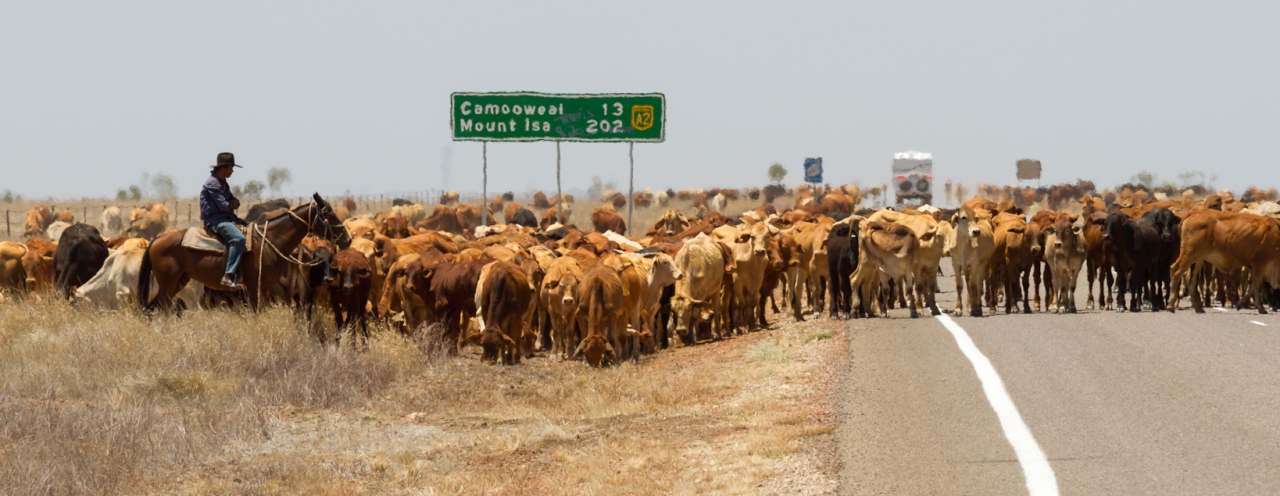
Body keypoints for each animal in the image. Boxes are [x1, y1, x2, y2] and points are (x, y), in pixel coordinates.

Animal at [138, 193, 355, 311]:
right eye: (328, 213)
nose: (348, 238)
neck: (269, 241)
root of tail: (157, 239)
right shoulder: (254, 286)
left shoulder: (265, 287)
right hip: (168, 283)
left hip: (179, 281)